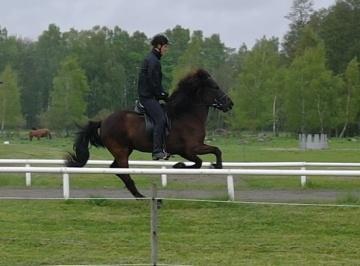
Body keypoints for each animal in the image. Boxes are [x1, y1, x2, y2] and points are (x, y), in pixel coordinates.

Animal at [65, 68, 233, 197]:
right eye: (215, 87)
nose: (230, 104)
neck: (187, 114)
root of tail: (103, 121)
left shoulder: (185, 151)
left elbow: (212, 153)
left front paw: (214, 165)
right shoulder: (191, 149)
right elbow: (206, 157)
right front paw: (182, 165)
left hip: (125, 151)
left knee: (116, 170)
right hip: (121, 151)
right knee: (124, 173)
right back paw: (140, 196)